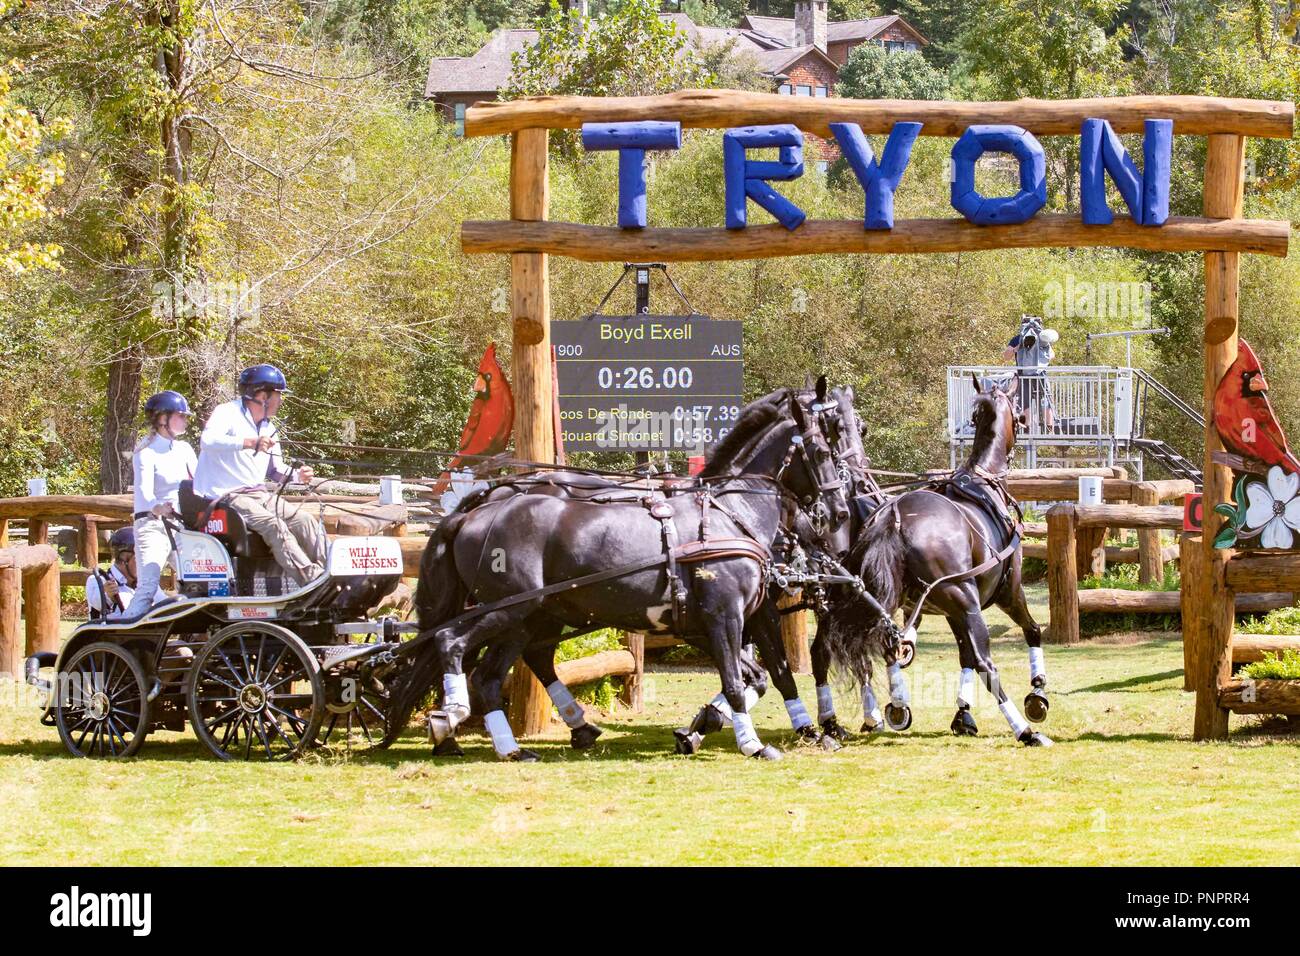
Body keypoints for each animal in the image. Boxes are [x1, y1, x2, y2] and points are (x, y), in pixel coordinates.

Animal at [382, 390, 852, 764]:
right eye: (824, 450)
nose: (840, 512)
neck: (729, 514)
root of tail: (478, 509)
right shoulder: (724, 616)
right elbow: (739, 682)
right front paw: (753, 744)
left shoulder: (733, 619)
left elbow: (766, 675)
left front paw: (713, 727)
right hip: (508, 609)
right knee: (452, 644)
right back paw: (455, 718)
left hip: (524, 618)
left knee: (492, 675)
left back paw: (513, 745)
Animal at [821, 374, 1055, 749]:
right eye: (1019, 410)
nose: (1025, 423)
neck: (985, 479)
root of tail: (895, 517)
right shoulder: (1007, 592)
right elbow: (1030, 632)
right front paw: (1037, 694)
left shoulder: (949, 611)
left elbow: (963, 656)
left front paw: (963, 714)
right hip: (967, 601)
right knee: (987, 663)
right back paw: (1024, 730)